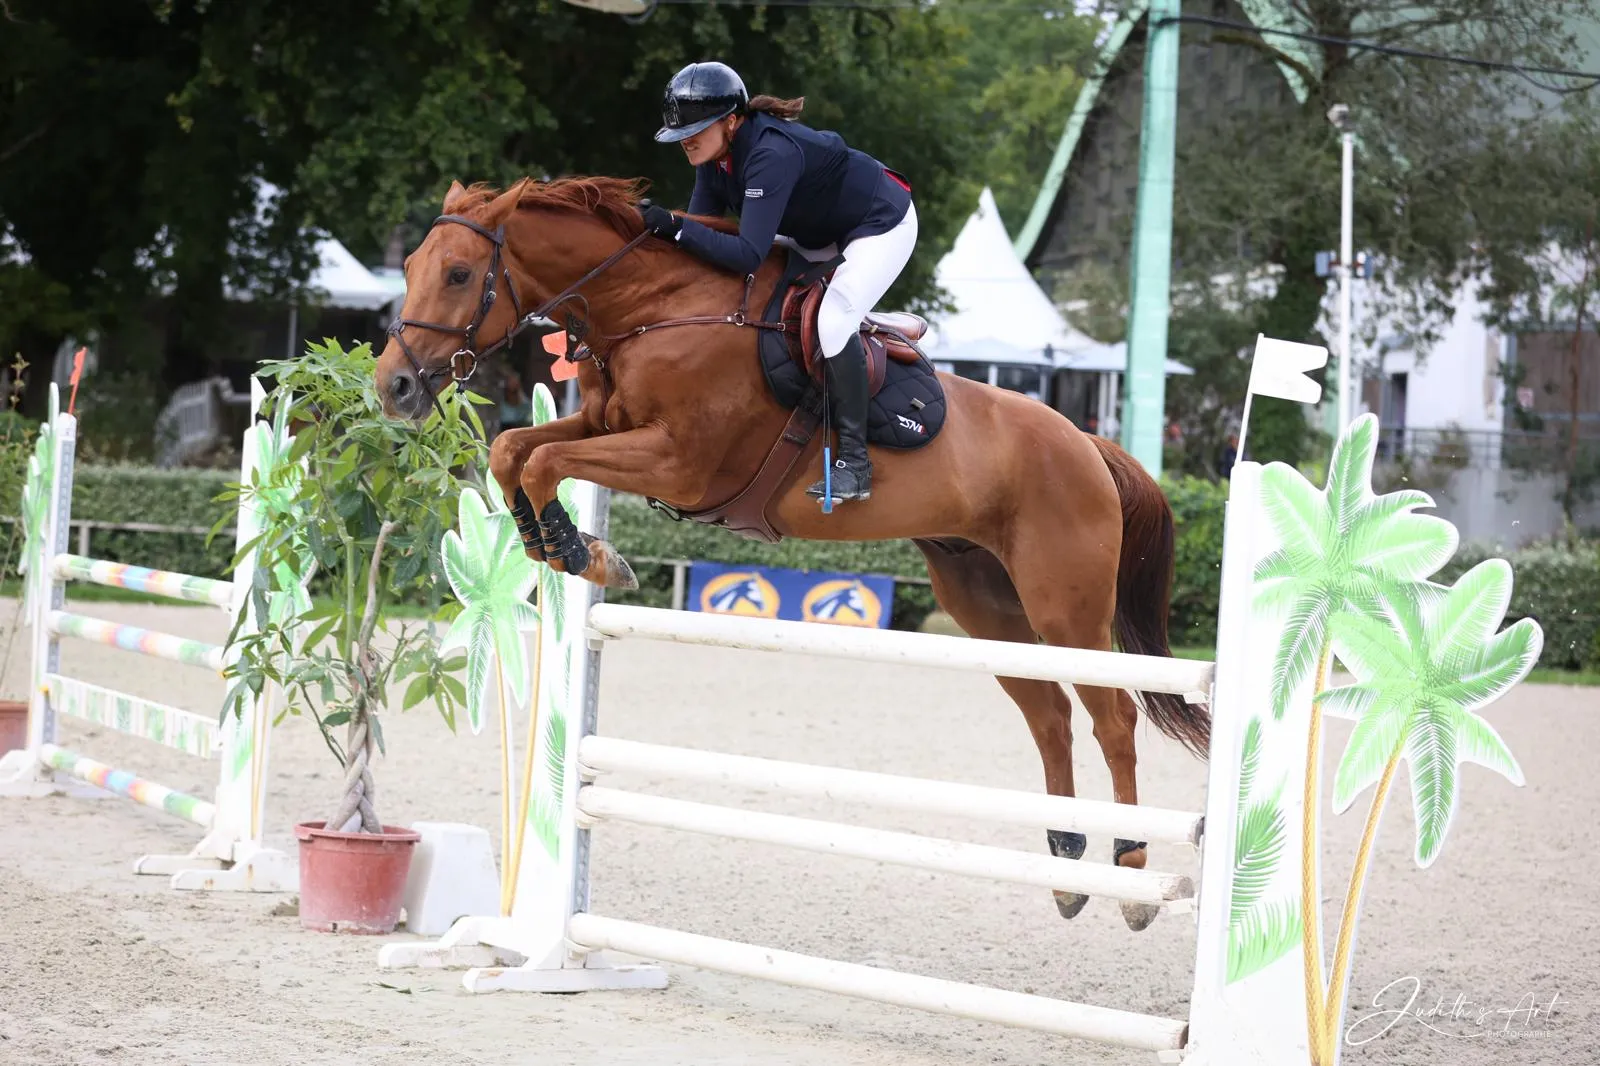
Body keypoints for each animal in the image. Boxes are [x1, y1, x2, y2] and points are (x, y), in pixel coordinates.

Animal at [374, 175, 1212, 931]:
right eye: (411, 263)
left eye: (459, 274)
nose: (395, 387)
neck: (652, 312)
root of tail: (1089, 444)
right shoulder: (603, 426)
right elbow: (516, 449)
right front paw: (560, 544)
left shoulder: (678, 463)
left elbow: (543, 460)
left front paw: (586, 554)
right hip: (982, 600)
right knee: (1049, 715)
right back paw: (1066, 868)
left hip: (1065, 604)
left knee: (1113, 719)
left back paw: (1132, 874)